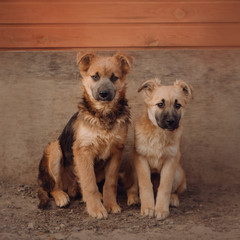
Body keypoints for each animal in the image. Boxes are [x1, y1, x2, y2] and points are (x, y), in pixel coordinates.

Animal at [37, 51, 132, 219]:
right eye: (95, 76)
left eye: (114, 77)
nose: (103, 94)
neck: (103, 114)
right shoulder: (83, 150)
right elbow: (89, 183)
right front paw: (96, 209)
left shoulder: (116, 151)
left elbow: (110, 182)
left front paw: (110, 204)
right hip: (54, 148)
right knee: (52, 186)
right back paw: (61, 196)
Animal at [131, 78, 193, 219]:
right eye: (160, 104)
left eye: (178, 105)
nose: (171, 121)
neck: (159, 134)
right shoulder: (140, 158)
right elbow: (145, 184)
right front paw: (148, 207)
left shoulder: (171, 160)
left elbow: (165, 186)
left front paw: (161, 209)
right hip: (133, 172)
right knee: (131, 187)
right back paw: (133, 199)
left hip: (178, 173)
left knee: (174, 191)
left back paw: (173, 199)